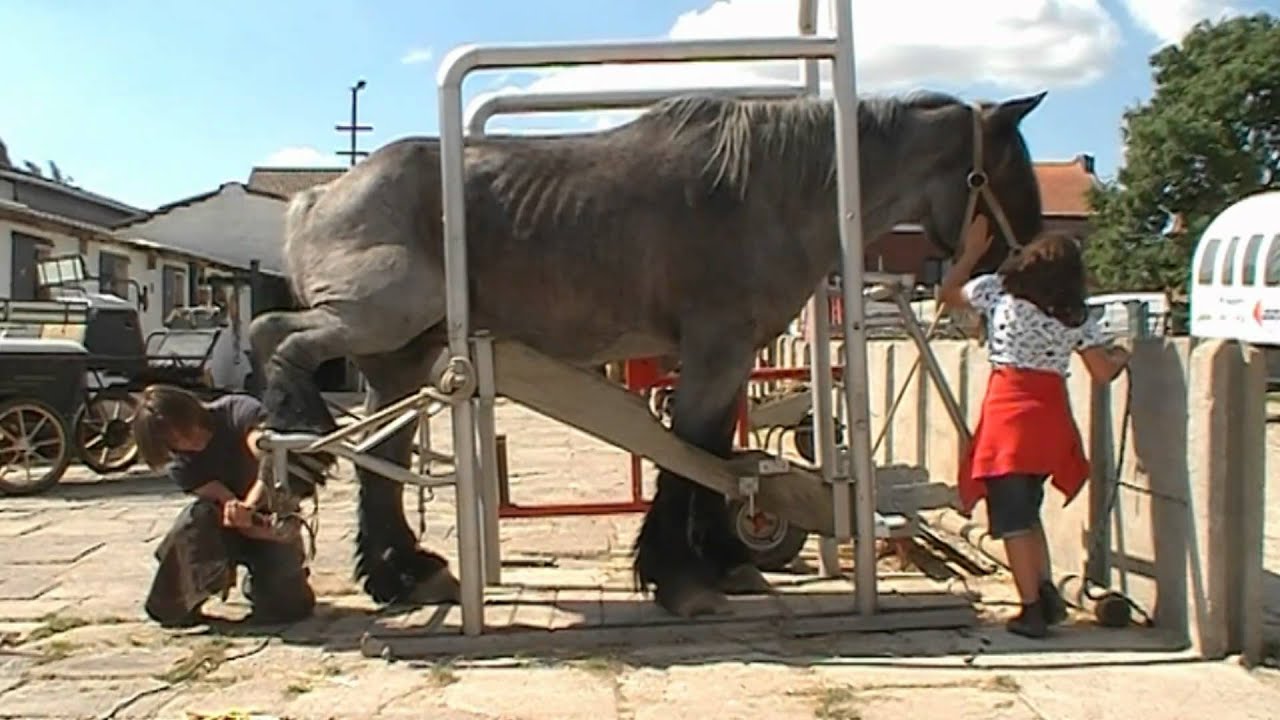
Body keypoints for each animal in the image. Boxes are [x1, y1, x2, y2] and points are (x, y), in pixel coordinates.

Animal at [252, 88, 1049, 617]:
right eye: (1009, 171)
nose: (1024, 266)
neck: (773, 189)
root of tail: (319, 198)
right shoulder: (716, 350)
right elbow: (690, 458)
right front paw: (684, 576)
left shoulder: (730, 358)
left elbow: (714, 457)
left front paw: (723, 562)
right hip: (382, 317)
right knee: (278, 339)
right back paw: (295, 429)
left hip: (399, 357)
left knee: (380, 459)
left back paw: (405, 574)